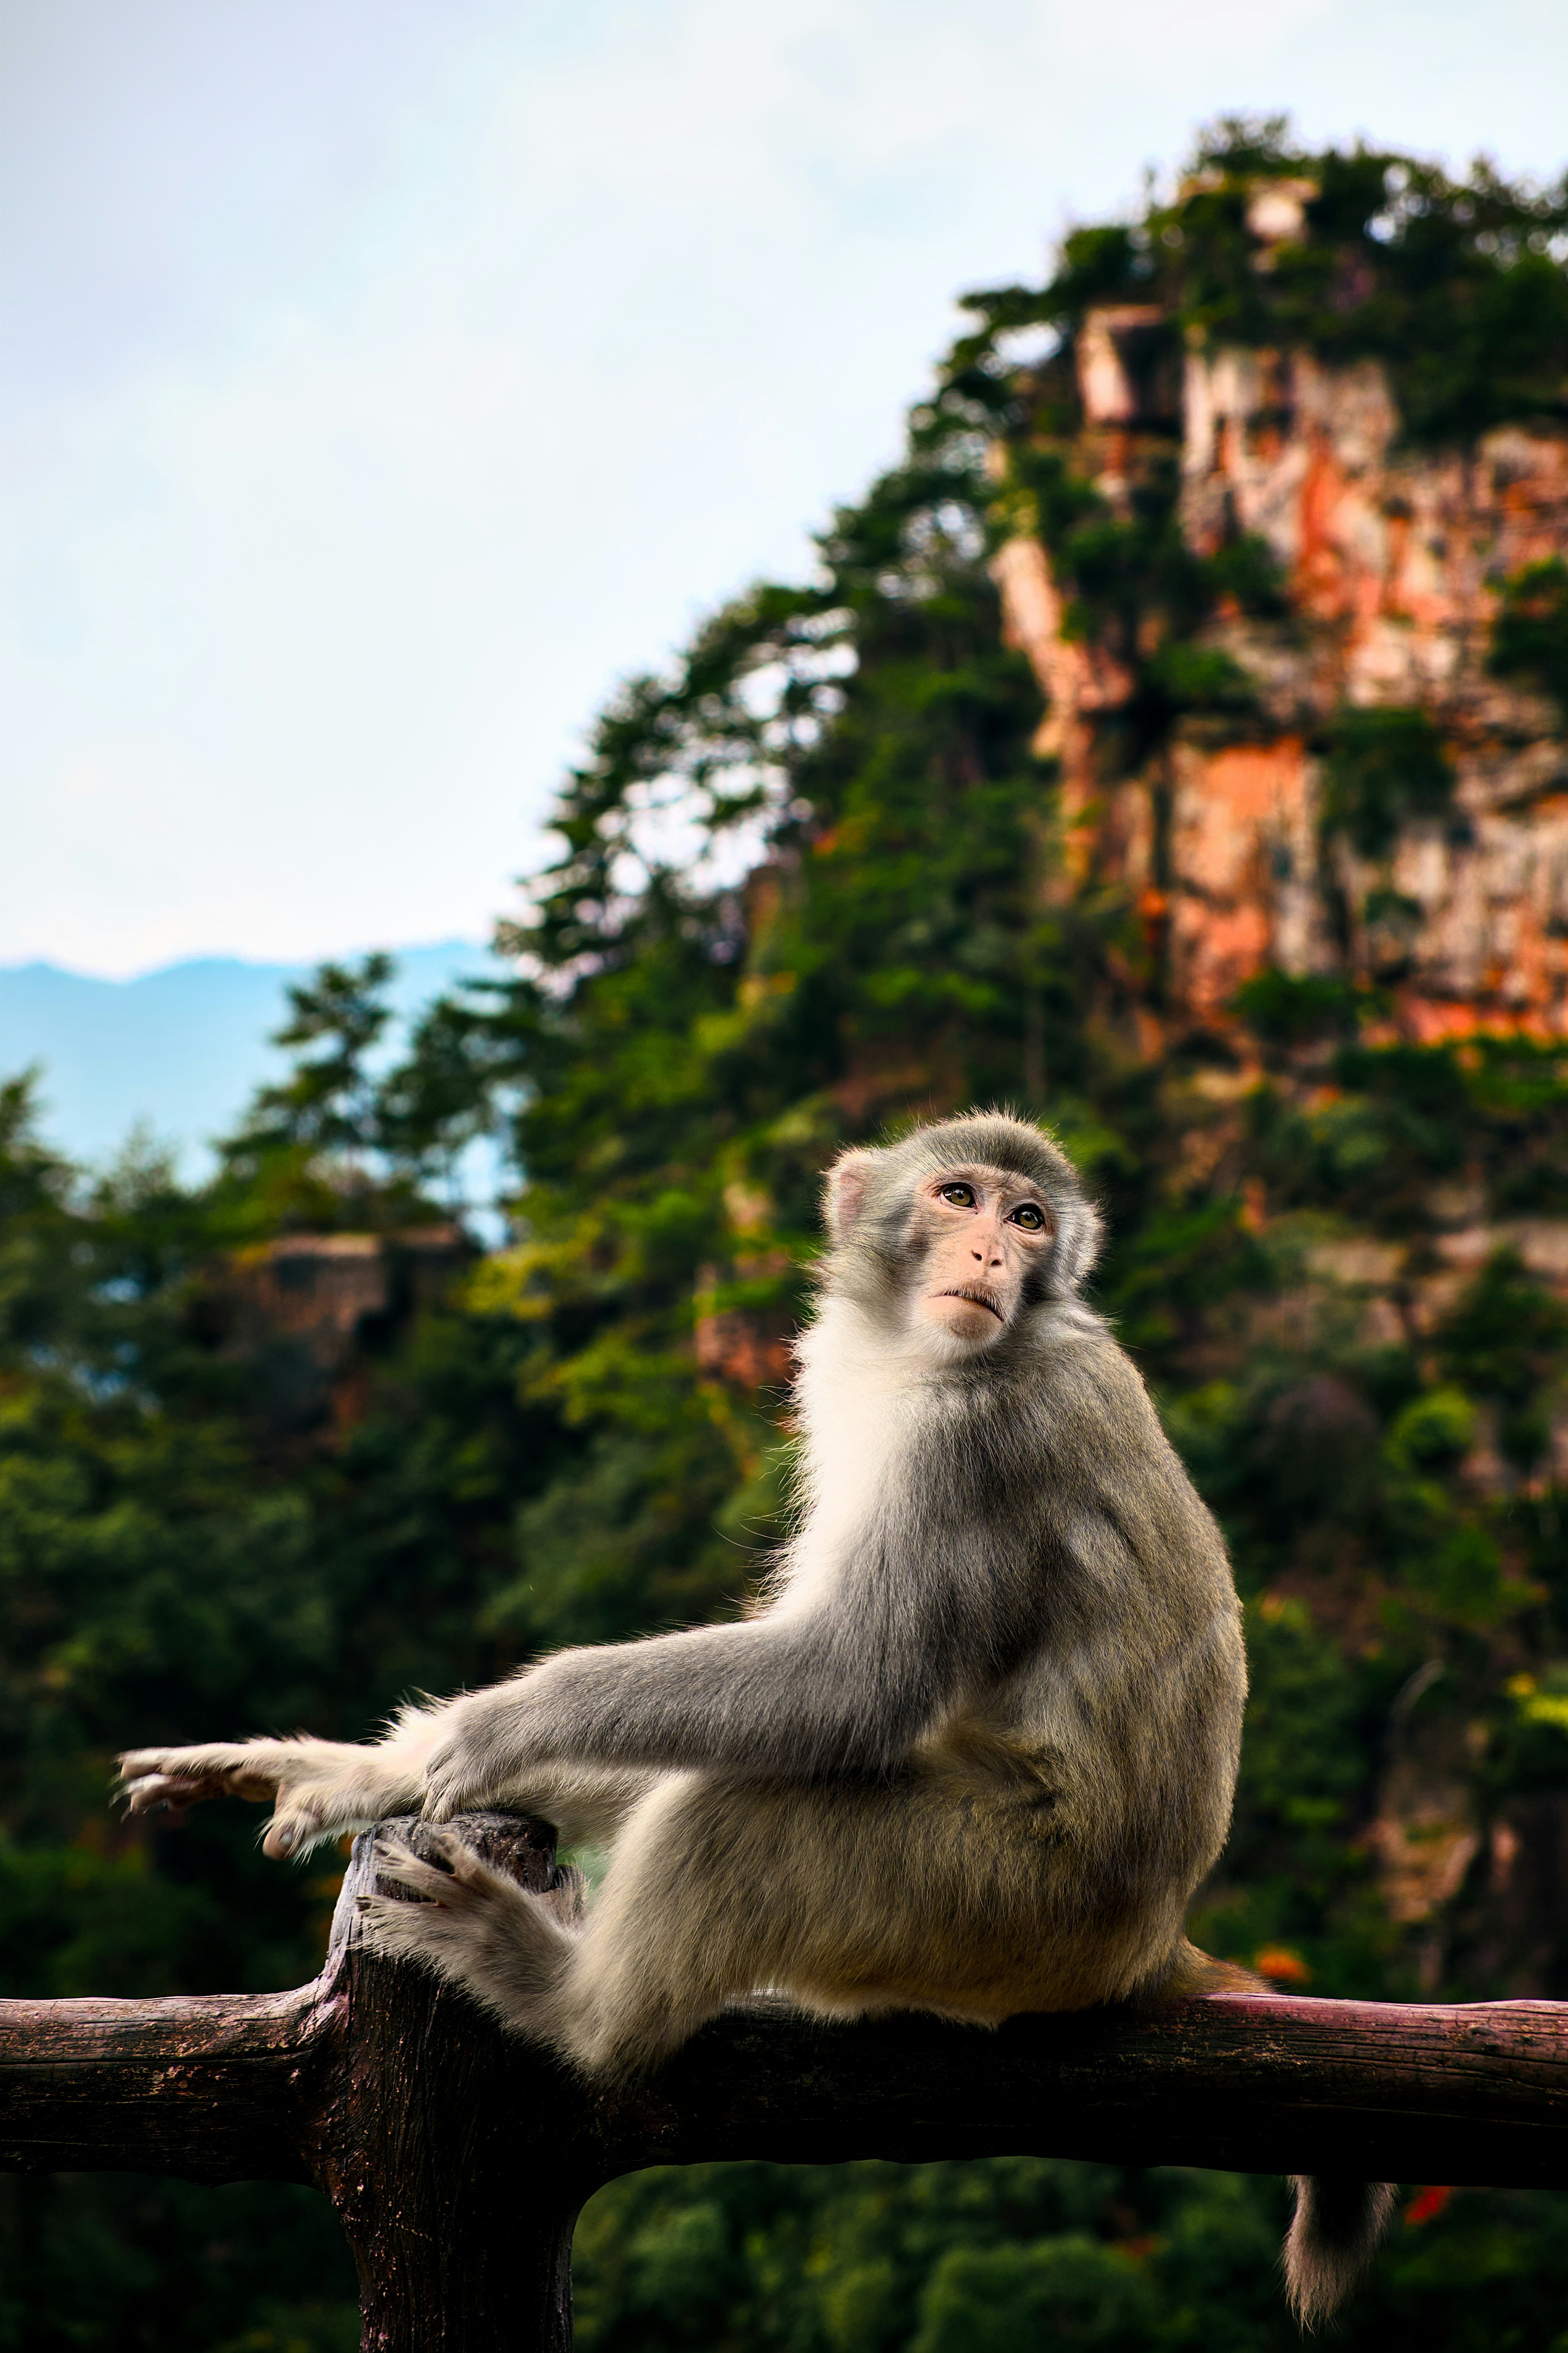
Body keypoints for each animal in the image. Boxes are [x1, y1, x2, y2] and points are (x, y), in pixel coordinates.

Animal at [118, 1110, 1389, 2326]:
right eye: (960, 1195)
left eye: (1029, 1217)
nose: (991, 1251)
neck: (940, 1351)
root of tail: (1151, 1939)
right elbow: (802, 1687)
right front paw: (363, 1765)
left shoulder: (972, 1440)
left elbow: (851, 1680)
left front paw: (494, 1721)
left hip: (1001, 1903)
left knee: (742, 1808)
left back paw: (572, 2008)